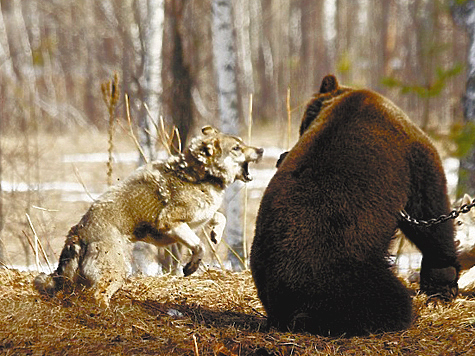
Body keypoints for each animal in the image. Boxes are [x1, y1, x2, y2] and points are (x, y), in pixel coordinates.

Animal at [34, 125, 264, 306]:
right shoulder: (171, 223)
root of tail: (78, 232)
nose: (261, 149)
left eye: (242, 143)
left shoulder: (197, 220)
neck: (200, 175)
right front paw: (190, 267)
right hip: (116, 271)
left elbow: (219, 218)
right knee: (97, 296)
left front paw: (216, 234)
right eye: (236, 148)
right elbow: (199, 246)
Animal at [251, 75, 460, 336]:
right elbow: (430, 212)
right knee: (383, 302)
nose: (282, 156)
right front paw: (443, 281)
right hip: (347, 275)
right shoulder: (413, 152)